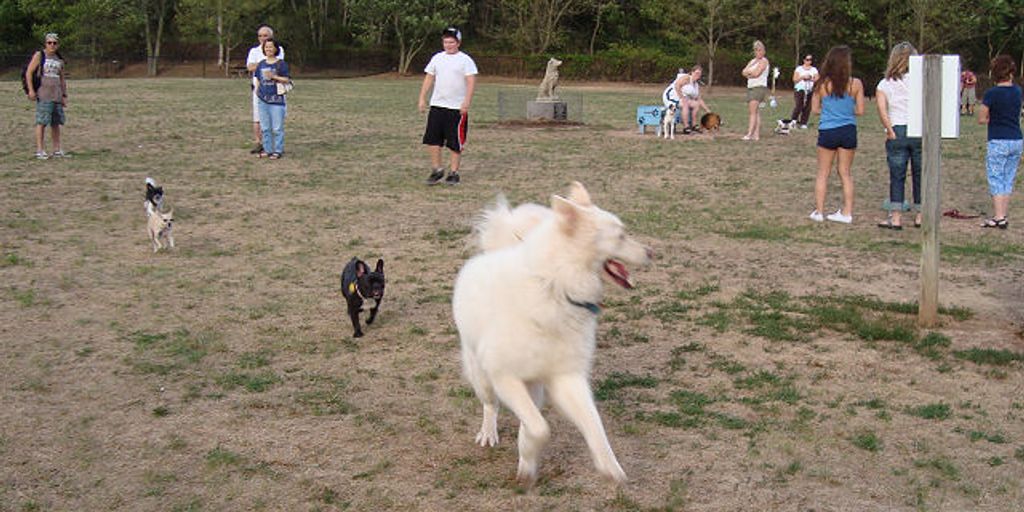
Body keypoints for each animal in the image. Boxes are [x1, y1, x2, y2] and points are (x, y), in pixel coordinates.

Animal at [454, 182, 651, 485]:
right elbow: (540, 428)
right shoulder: (505, 377)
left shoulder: (567, 378)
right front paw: (528, 455)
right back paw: (488, 433)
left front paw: (610, 468)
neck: (556, 288)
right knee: (491, 406)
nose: (652, 253)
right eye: (621, 235)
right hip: (482, 377)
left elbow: (594, 427)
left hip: (534, 385)